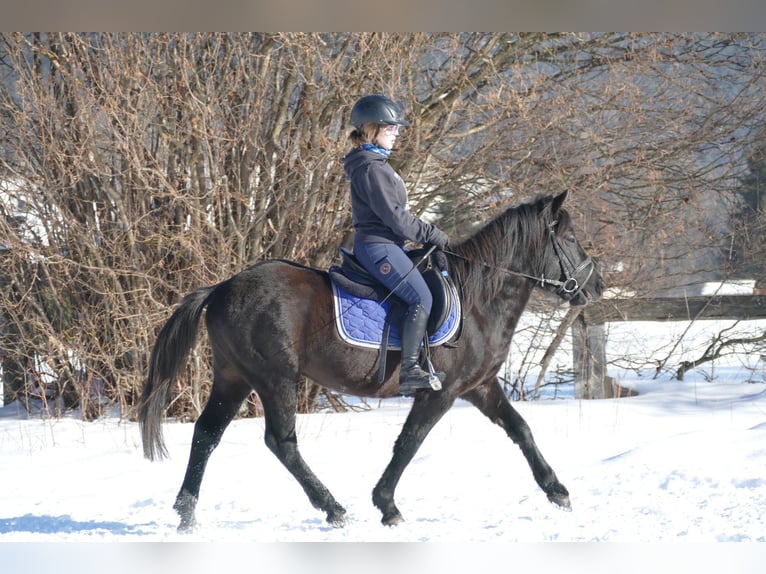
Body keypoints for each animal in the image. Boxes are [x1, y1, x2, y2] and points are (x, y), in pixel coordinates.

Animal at [138, 191, 608, 532]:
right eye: (569, 239)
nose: (596, 287)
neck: (479, 300)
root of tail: (221, 288)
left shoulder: (480, 388)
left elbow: (521, 429)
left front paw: (558, 490)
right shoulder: (441, 392)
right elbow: (409, 442)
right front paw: (387, 506)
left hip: (234, 376)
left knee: (207, 434)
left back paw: (186, 514)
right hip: (275, 378)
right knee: (281, 442)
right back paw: (332, 508)